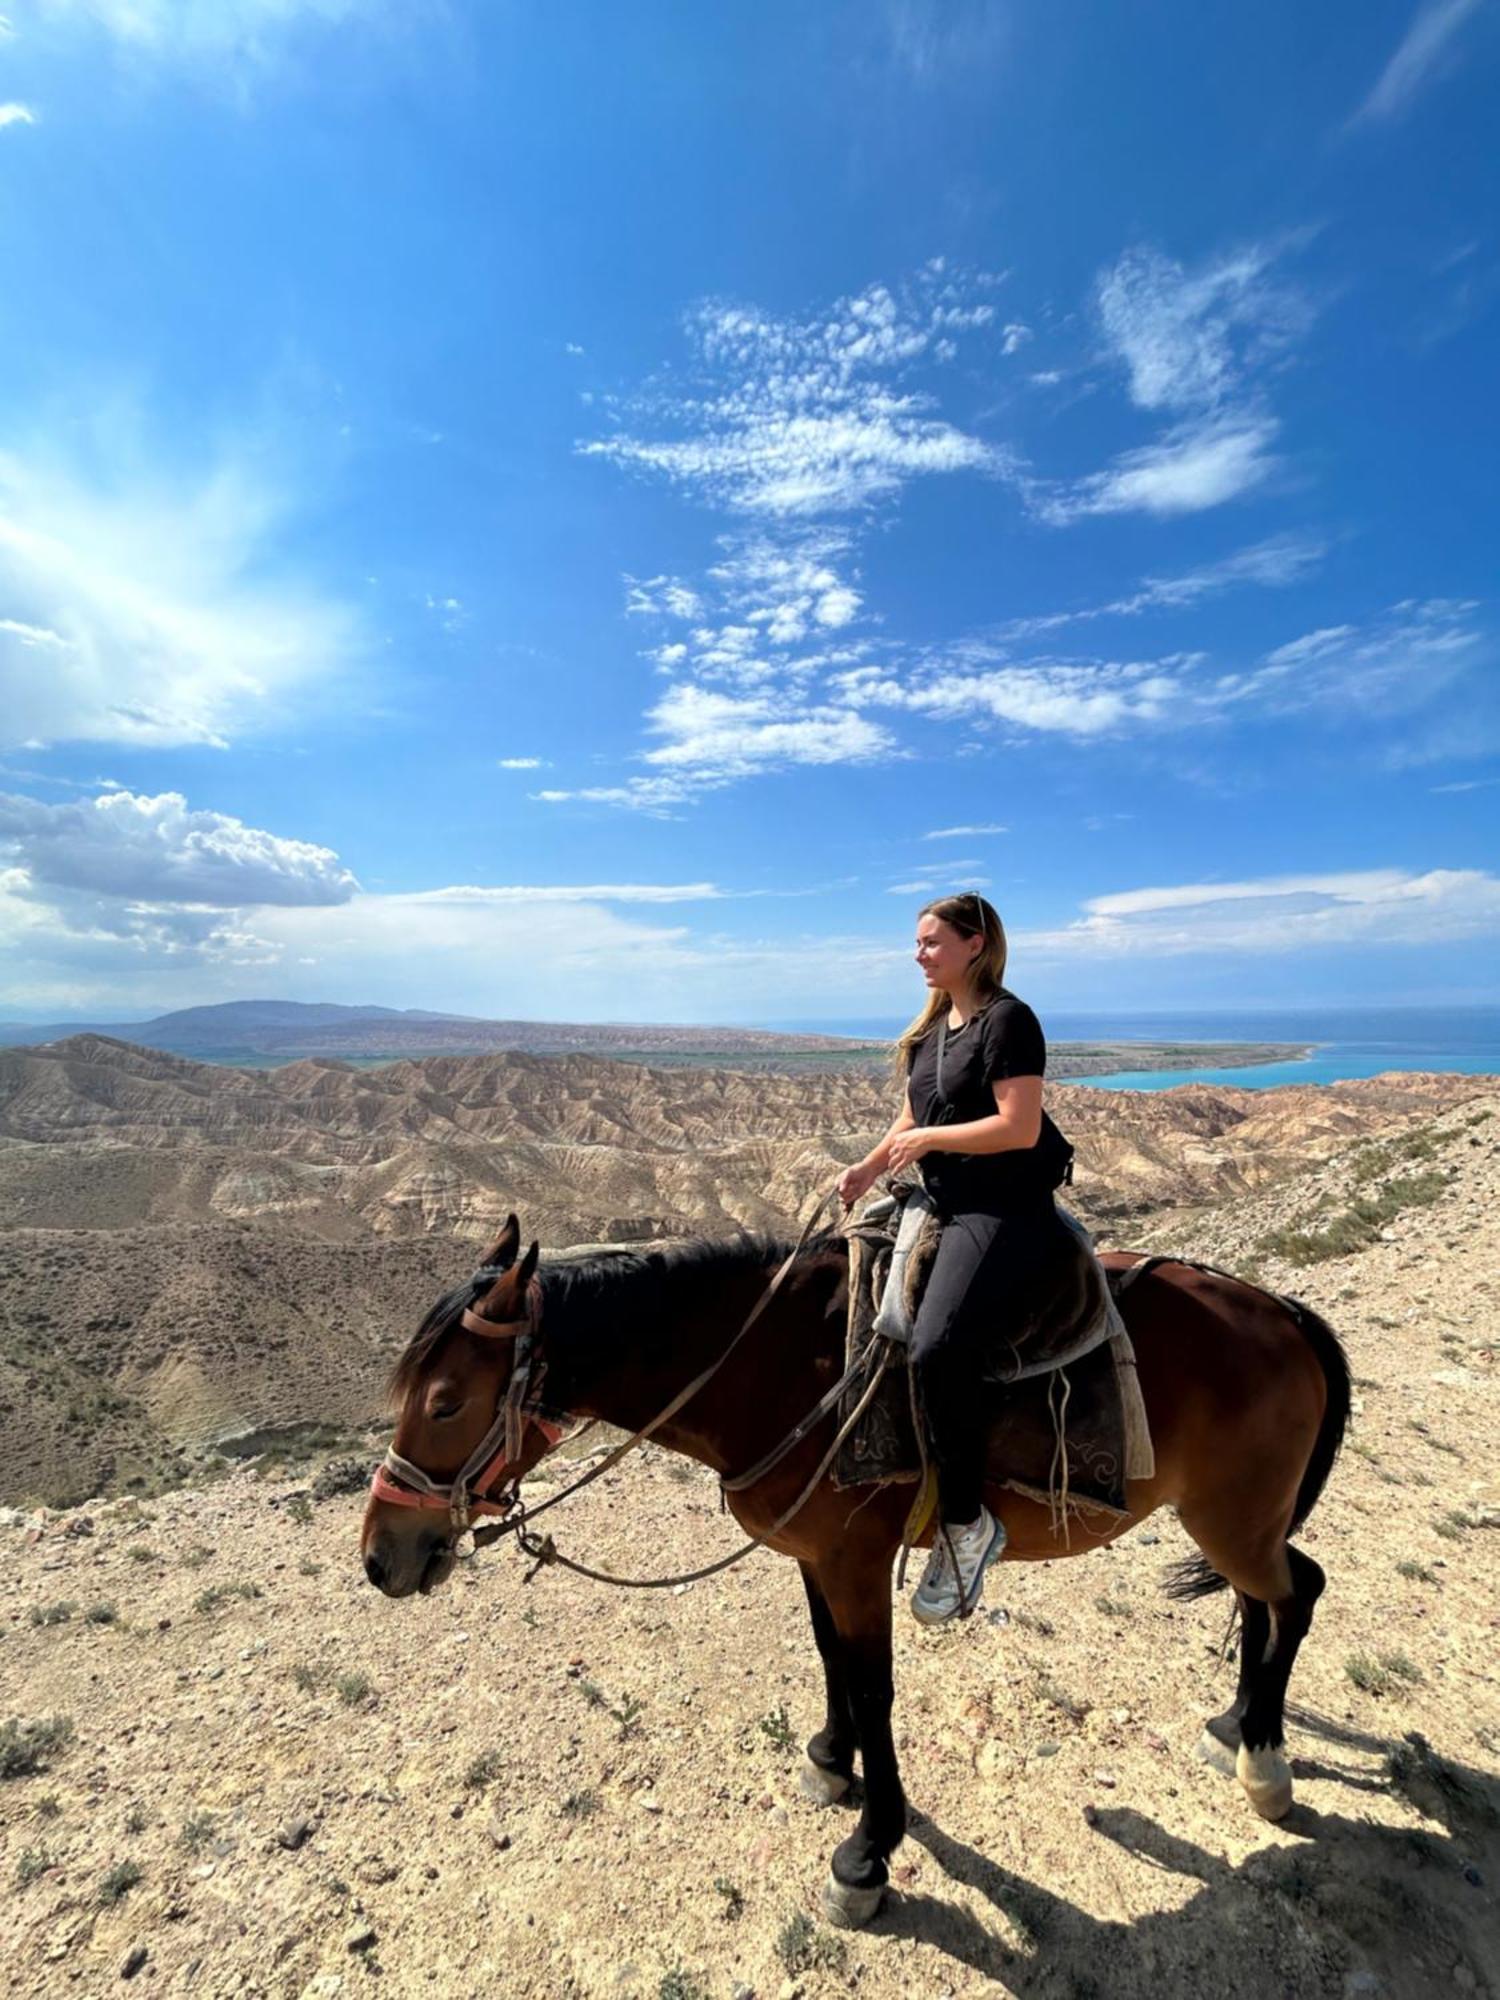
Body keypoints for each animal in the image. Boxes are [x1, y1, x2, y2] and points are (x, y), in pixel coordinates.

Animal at [362, 1208, 1352, 1928]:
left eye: (445, 1402)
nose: (380, 1557)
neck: (780, 1372)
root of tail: (1284, 1314)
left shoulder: (858, 1562)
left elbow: (875, 1688)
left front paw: (868, 1855)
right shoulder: (815, 1557)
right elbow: (829, 1658)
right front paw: (832, 1763)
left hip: (1230, 1519)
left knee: (1297, 1595)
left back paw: (1266, 1765)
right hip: (1236, 1521)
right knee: (1269, 1599)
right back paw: (1236, 1724)